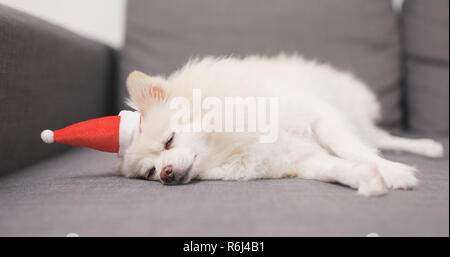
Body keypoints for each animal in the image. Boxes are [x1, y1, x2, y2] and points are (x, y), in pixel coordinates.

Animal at [118, 53, 442, 194]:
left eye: (169, 140)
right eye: (150, 173)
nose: (166, 174)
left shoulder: (322, 118)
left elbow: (353, 151)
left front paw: (393, 172)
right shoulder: (302, 160)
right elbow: (335, 168)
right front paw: (366, 178)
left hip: (351, 116)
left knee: (378, 140)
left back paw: (428, 146)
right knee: (378, 139)